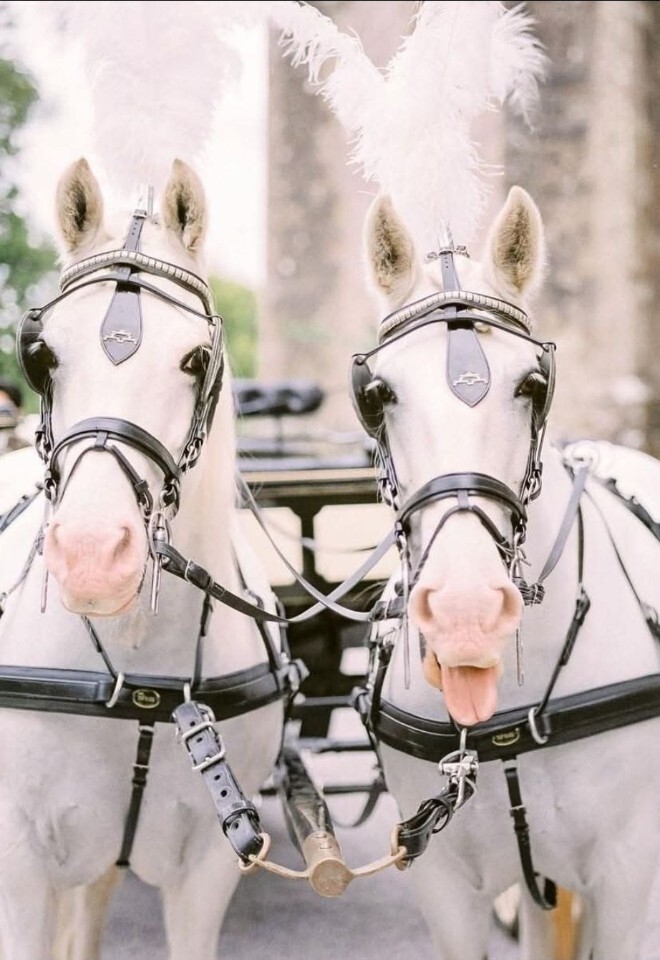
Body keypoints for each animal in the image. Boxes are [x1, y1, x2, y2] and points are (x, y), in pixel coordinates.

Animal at [0, 157, 291, 960]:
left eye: (195, 358)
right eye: (43, 355)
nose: (92, 555)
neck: (139, 663)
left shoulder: (209, 871)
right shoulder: (21, 869)